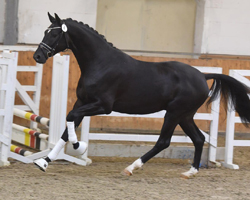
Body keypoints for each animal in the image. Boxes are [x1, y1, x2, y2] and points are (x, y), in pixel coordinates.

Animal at [33, 13, 250, 177]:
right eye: (45, 31)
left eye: (54, 34)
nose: (38, 56)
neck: (100, 63)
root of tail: (202, 76)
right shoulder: (81, 102)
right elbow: (66, 127)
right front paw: (44, 162)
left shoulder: (102, 106)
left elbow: (70, 118)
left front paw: (79, 146)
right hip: (185, 116)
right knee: (198, 138)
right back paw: (190, 172)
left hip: (173, 113)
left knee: (164, 142)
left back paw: (131, 167)